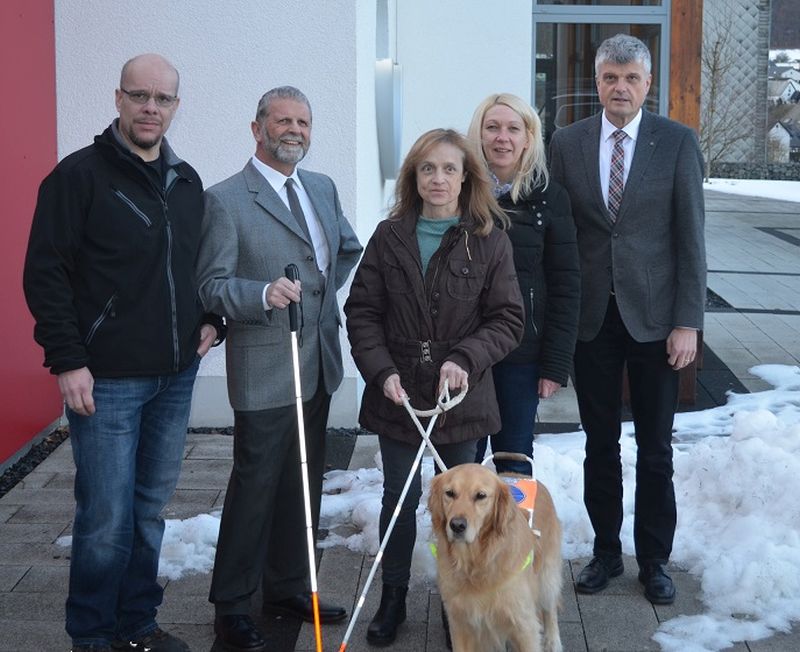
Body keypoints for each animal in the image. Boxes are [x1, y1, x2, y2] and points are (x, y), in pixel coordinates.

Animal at [428, 464, 564, 652]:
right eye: (449, 493)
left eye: (481, 496)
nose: (457, 525)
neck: (477, 562)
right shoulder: (460, 624)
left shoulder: (524, 625)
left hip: (546, 574)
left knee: (550, 607)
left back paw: (552, 641)